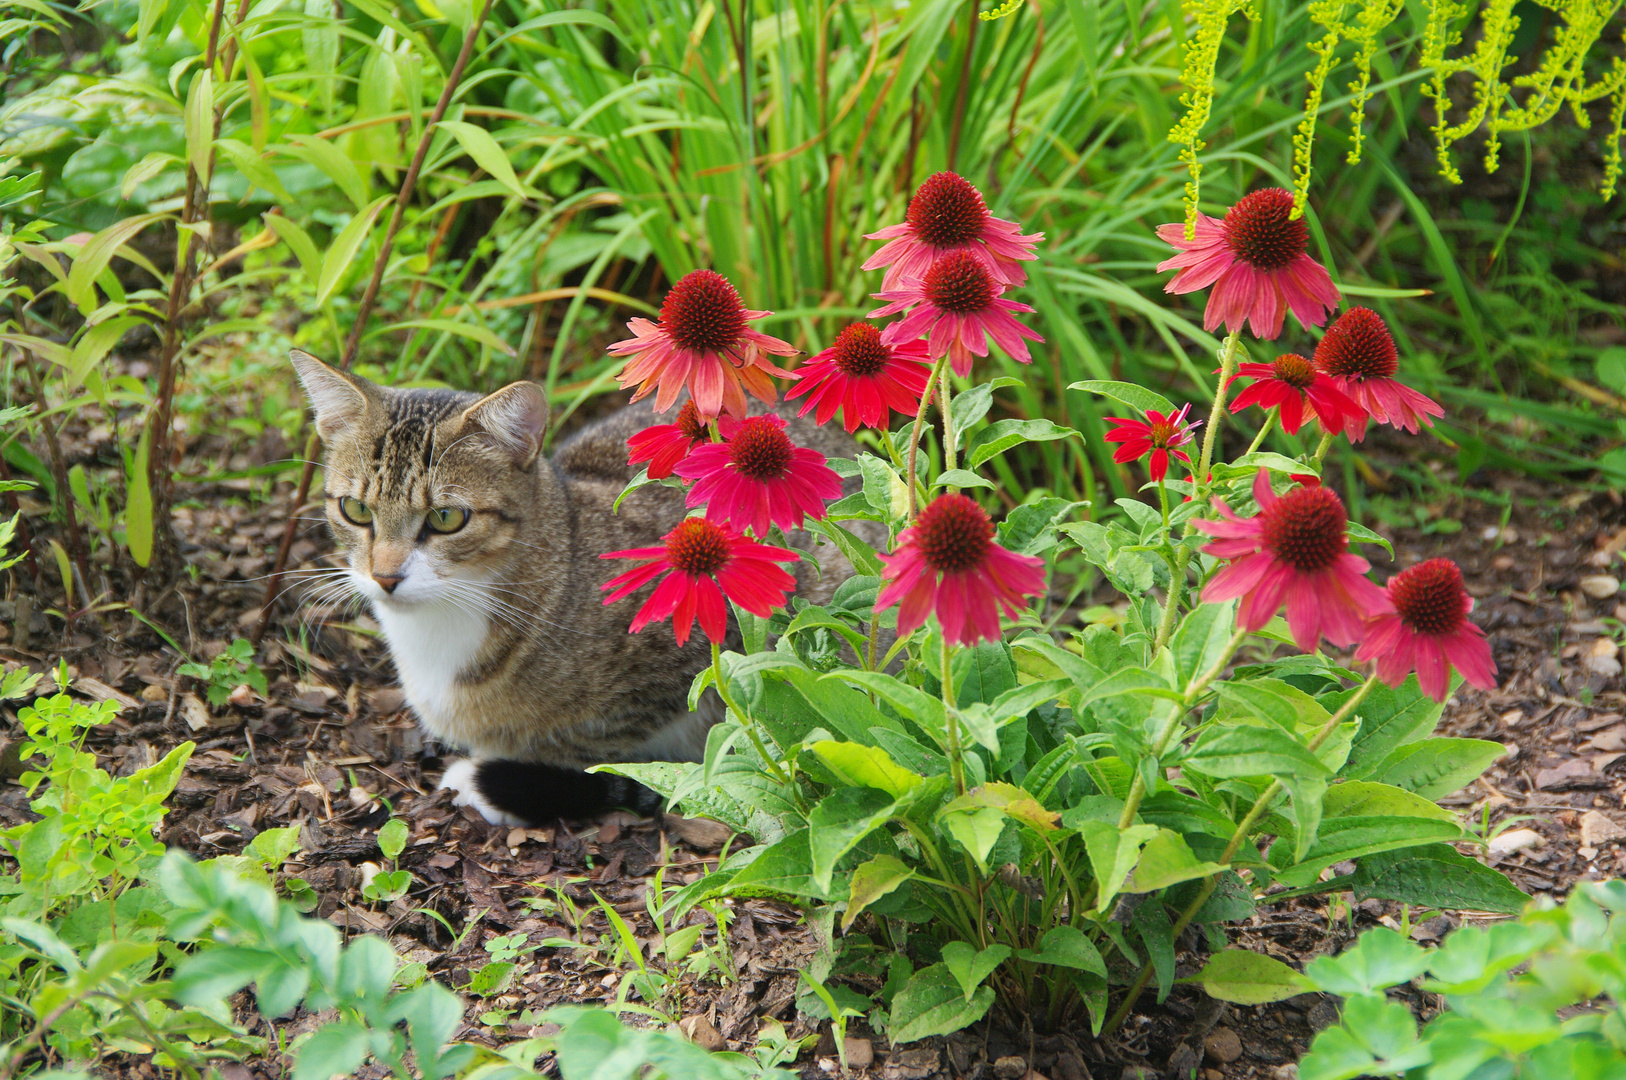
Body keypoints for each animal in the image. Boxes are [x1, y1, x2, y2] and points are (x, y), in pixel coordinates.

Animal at [289, 349, 865, 823]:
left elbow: (602, 752)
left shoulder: (699, 651)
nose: (384, 576)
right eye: (355, 510)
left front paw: (510, 780)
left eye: (447, 518)